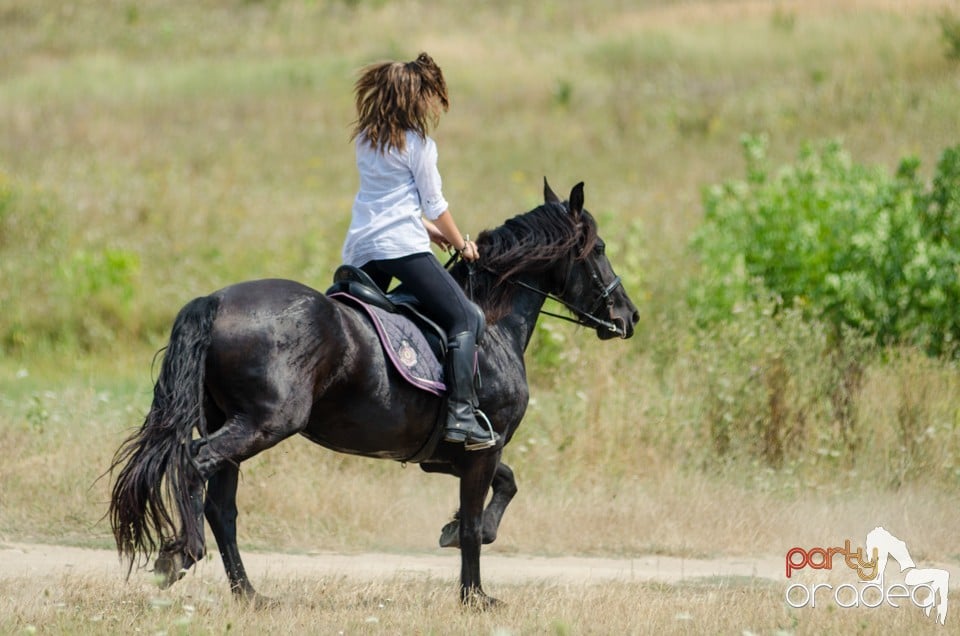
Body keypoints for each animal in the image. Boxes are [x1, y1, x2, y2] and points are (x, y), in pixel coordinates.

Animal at [109, 179, 636, 608]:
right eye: (599, 247)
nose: (628, 317)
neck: (493, 324)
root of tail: (215, 301)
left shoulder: (446, 454)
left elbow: (505, 485)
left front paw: (456, 537)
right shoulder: (484, 446)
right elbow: (474, 521)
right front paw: (476, 598)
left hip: (233, 423)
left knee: (222, 506)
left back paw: (250, 595)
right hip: (263, 424)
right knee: (194, 465)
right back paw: (179, 556)